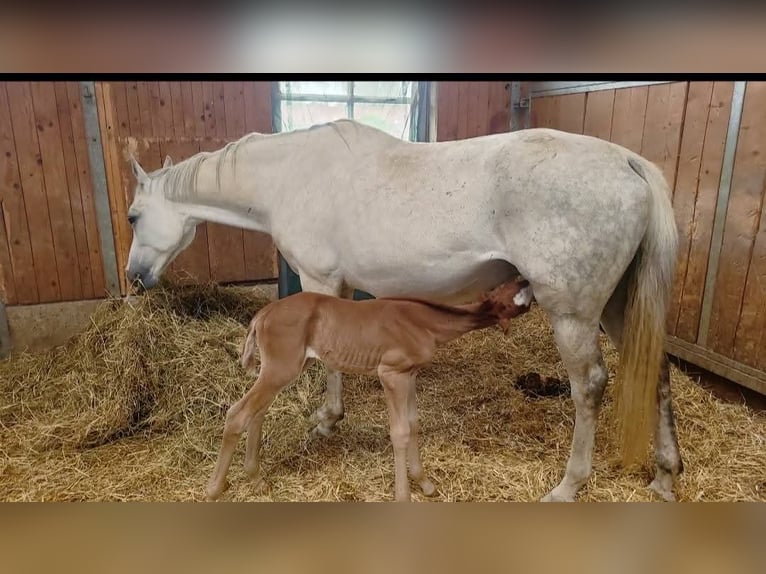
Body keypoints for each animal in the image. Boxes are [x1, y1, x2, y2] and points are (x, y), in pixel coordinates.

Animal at [125, 119, 681, 501]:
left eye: (132, 216)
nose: (134, 277)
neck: (292, 175)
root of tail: (628, 162)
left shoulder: (320, 280)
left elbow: (328, 362)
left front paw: (326, 419)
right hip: (615, 309)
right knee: (656, 374)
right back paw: (665, 475)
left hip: (573, 315)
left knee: (589, 386)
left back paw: (569, 485)